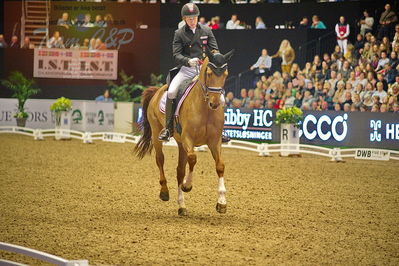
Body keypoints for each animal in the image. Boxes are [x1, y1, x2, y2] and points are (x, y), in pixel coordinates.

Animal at [134, 50, 234, 216]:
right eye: (209, 73)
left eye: (225, 74)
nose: (214, 103)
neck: (205, 109)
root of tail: (157, 91)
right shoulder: (188, 139)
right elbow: (193, 159)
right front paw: (188, 185)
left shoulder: (215, 141)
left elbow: (220, 165)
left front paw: (221, 202)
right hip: (157, 134)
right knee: (160, 160)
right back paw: (164, 192)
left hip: (181, 144)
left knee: (179, 171)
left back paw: (182, 206)